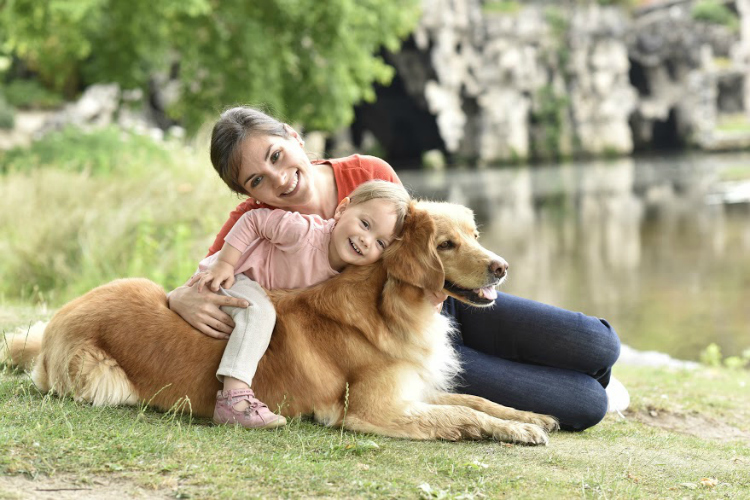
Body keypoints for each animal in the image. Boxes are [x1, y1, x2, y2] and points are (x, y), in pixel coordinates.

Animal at [4, 201, 560, 444]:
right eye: (446, 244)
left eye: (474, 235)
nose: (501, 267)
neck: (390, 305)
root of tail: (59, 321)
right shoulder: (373, 411)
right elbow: (460, 414)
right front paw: (517, 431)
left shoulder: (415, 389)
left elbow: (476, 400)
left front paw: (530, 417)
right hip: (107, 378)